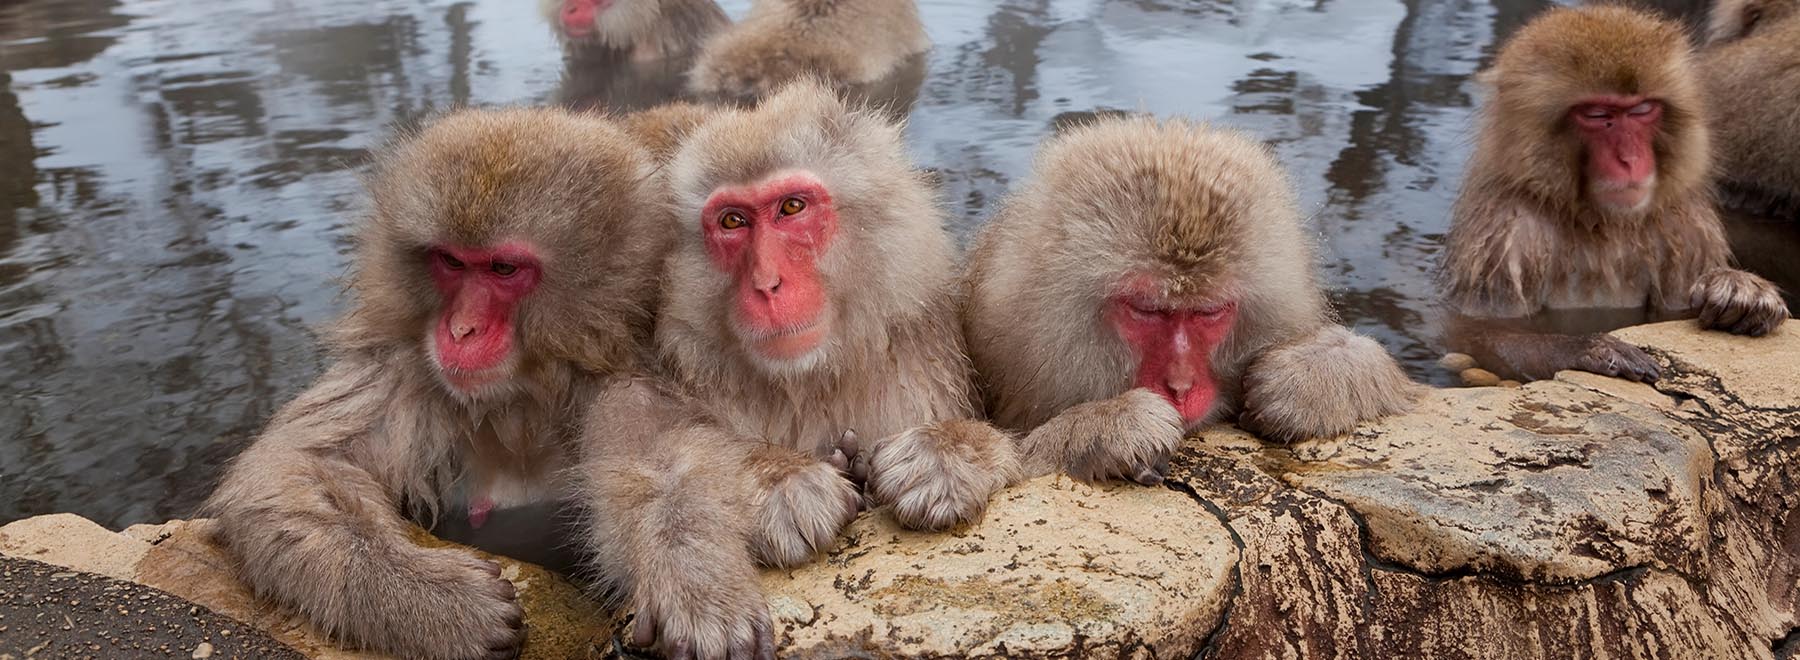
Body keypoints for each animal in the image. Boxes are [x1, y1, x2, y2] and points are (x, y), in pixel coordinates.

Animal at [204, 108, 672, 660]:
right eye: (450, 261)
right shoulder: (401, 369)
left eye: (504, 267)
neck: (519, 401)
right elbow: (289, 469)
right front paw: (437, 602)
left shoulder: (626, 385)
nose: (461, 330)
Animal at [654, 78, 1019, 564]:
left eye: (792, 207)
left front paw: (945, 451)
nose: (767, 284)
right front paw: (782, 482)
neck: (812, 379)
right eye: (733, 221)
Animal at [1438, 6, 1789, 384]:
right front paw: (1589, 348)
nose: (1630, 160)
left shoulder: (1687, 229)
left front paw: (1741, 292)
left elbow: (1678, 307)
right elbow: (1477, 330)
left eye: (1642, 110)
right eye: (1597, 114)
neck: (1602, 223)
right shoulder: (1505, 236)